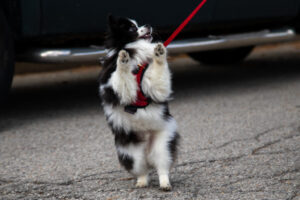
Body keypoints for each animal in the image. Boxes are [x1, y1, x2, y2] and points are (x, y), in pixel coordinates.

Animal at [98, 15, 179, 191]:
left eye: (138, 24)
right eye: (131, 28)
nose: (148, 25)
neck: (136, 54)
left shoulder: (154, 86)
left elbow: (158, 69)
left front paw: (159, 53)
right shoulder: (119, 90)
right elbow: (121, 74)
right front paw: (123, 59)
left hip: (162, 145)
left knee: (162, 168)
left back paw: (165, 184)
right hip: (131, 152)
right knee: (143, 171)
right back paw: (141, 182)